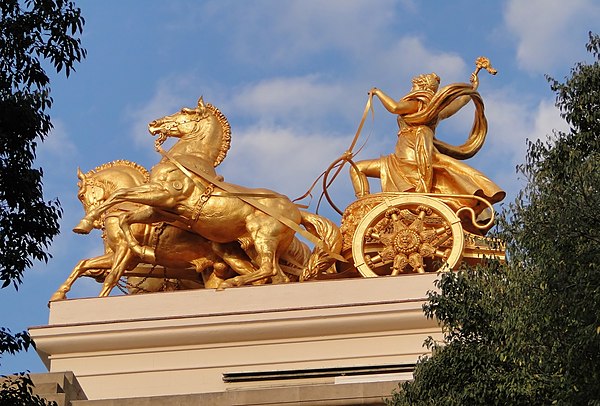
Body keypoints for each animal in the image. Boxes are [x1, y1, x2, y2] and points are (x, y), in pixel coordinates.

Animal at [74, 99, 342, 288]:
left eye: (184, 110)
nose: (154, 123)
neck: (188, 158)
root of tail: (296, 211)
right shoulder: (158, 208)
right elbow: (126, 217)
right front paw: (138, 247)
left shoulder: (164, 195)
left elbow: (119, 196)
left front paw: (85, 224)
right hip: (243, 248)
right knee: (277, 277)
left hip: (262, 237)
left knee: (268, 269)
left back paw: (232, 283)